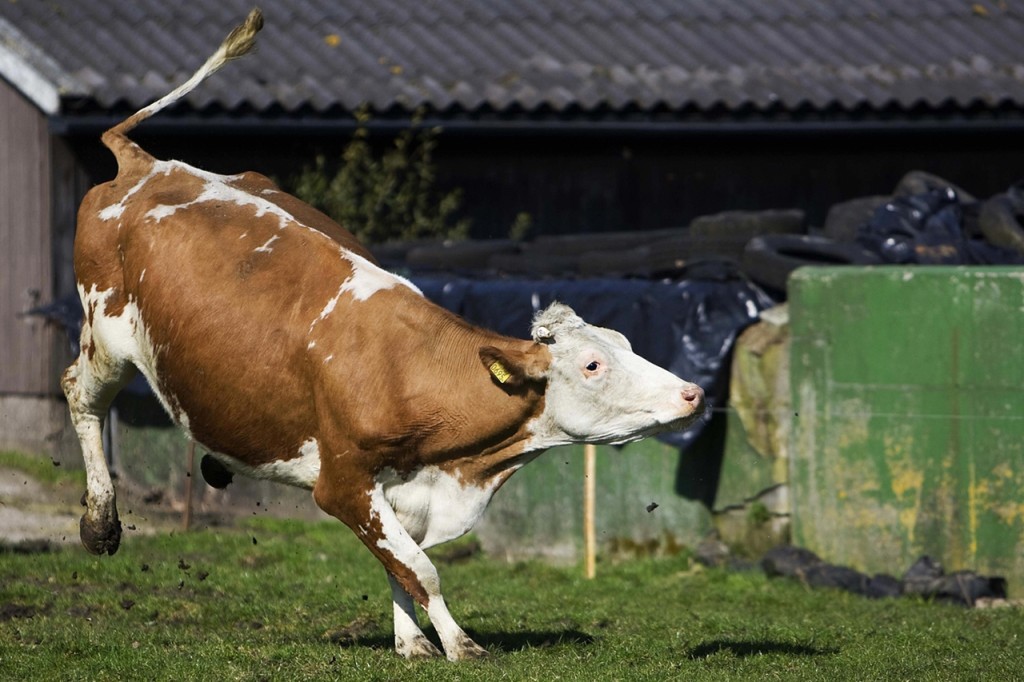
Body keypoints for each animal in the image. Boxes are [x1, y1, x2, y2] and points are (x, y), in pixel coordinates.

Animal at [61, 9, 704, 659]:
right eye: (593, 364)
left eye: (626, 344)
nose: (693, 393)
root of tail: (147, 164)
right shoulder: (343, 482)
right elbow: (420, 568)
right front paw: (458, 644)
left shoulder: (404, 489)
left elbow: (400, 562)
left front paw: (413, 643)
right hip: (108, 338)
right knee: (79, 394)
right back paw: (99, 522)